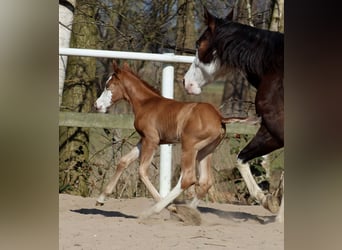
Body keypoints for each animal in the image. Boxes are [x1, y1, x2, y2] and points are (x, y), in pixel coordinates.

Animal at [93, 61, 254, 219]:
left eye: (108, 85)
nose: (96, 105)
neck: (146, 103)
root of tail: (220, 117)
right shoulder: (144, 139)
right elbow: (123, 161)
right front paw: (100, 199)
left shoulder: (151, 140)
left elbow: (142, 171)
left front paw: (170, 207)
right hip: (206, 151)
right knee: (205, 181)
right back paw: (189, 212)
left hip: (189, 147)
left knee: (188, 178)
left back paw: (158, 210)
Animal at [183, 8, 284, 223]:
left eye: (198, 44)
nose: (186, 82)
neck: (275, 67)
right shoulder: (269, 129)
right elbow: (241, 159)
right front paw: (270, 203)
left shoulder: (277, 130)